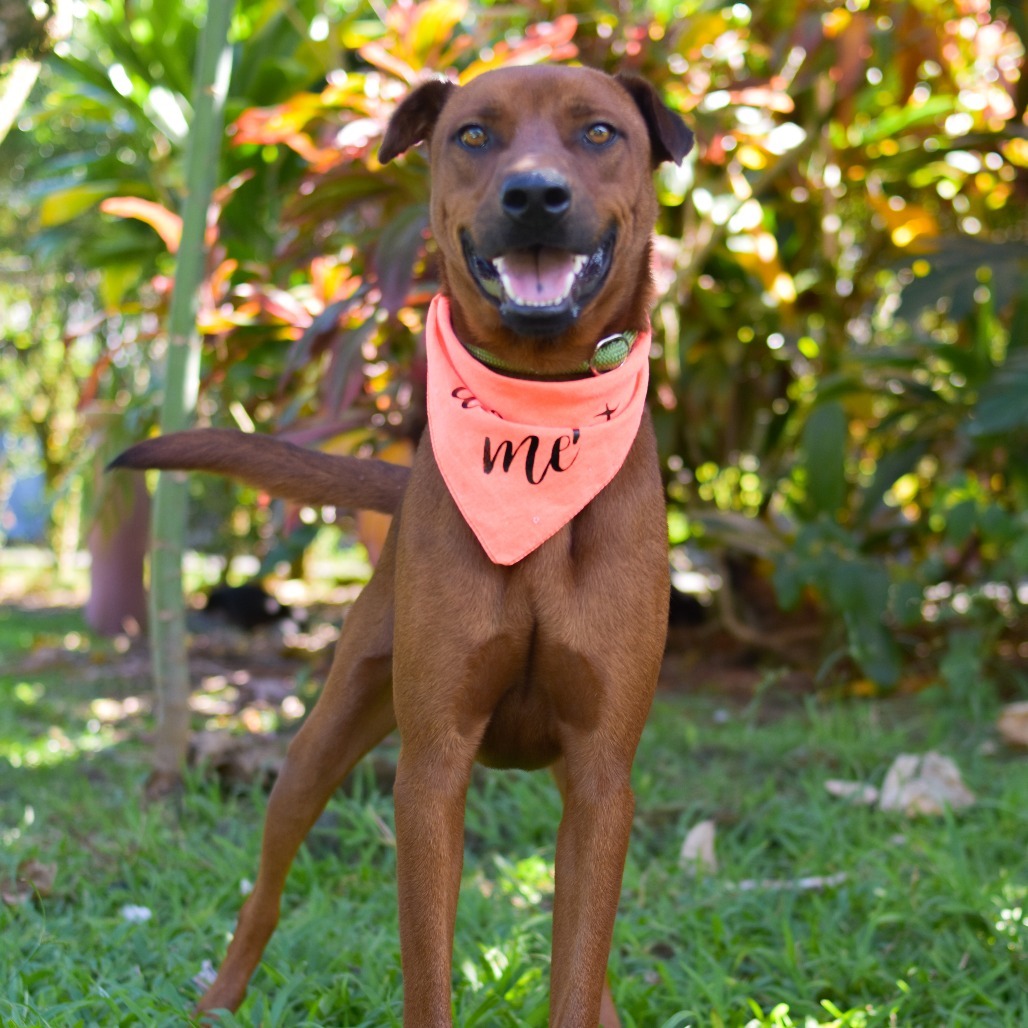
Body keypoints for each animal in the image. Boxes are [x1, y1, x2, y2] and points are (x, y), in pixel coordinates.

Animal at [110, 66, 690, 1028]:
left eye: (600, 133)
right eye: (473, 136)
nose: (535, 195)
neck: (535, 420)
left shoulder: (605, 774)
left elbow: (576, 967)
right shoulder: (431, 770)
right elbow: (428, 968)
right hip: (322, 742)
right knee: (265, 890)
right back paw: (219, 1001)